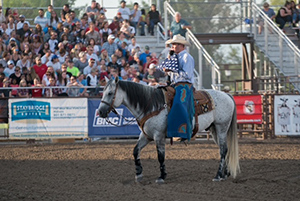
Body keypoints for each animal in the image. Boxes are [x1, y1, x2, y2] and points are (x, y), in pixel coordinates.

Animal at [98, 77, 239, 184]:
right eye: (102, 92)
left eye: (110, 93)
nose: (100, 112)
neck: (150, 105)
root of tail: (227, 94)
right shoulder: (146, 136)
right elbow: (135, 151)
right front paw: (138, 174)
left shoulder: (158, 136)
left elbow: (160, 156)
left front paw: (161, 176)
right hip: (214, 129)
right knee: (225, 149)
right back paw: (225, 174)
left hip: (221, 127)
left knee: (223, 150)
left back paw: (218, 176)